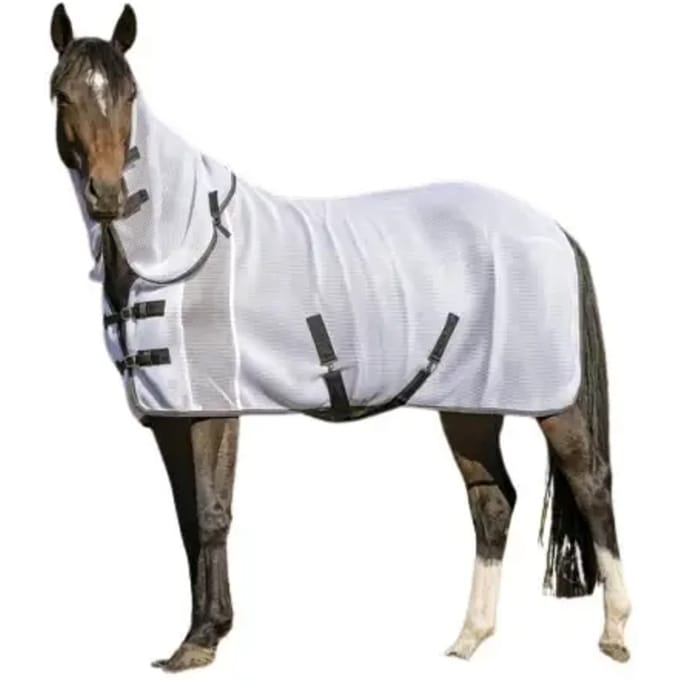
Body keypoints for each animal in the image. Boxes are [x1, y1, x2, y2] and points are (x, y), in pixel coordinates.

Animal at [50, 3, 631, 671]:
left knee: (591, 482)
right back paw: (469, 637)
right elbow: (186, 520)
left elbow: (213, 513)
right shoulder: (171, 416)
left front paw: (202, 640)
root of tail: (552, 228)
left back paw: (615, 632)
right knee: (492, 501)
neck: (180, 239)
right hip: (469, 405)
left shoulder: (213, 410)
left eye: (130, 95)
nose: (109, 195)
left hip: (552, 401)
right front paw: (198, 633)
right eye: (63, 93)